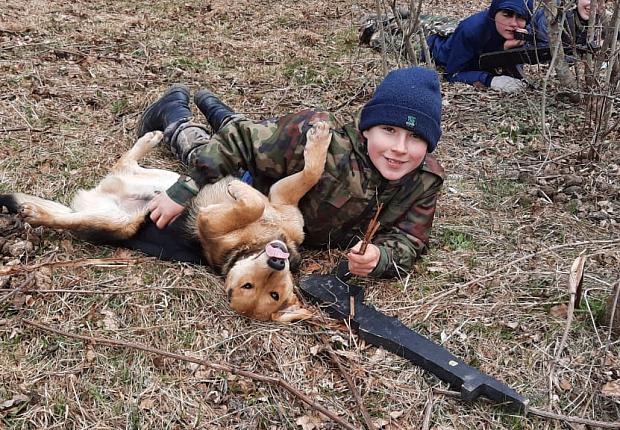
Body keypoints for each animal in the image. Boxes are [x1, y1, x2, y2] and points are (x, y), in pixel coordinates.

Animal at [1, 121, 334, 322]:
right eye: (248, 285)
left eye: (273, 294)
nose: (277, 262)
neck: (254, 245)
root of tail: (97, 195)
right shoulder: (278, 198)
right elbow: (304, 175)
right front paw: (319, 140)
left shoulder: (240, 215)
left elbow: (263, 198)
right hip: (153, 181)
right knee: (123, 164)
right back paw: (150, 139)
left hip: (117, 219)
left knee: (73, 213)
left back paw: (35, 212)